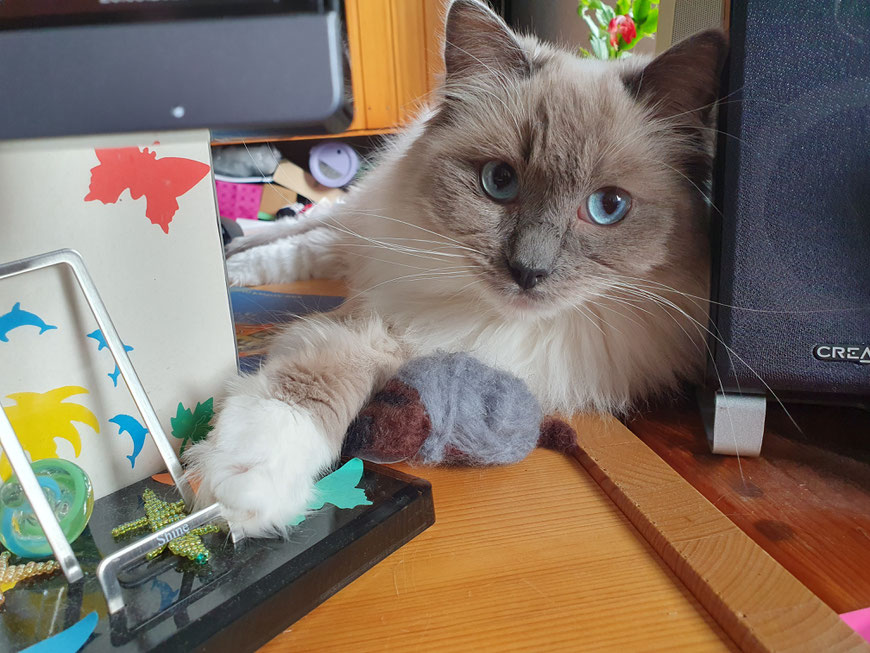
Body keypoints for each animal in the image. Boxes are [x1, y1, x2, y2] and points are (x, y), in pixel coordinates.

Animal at [187, 1, 732, 536]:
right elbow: (299, 392)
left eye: (608, 207)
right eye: (499, 181)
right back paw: (236, 261)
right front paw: (241, 493)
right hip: (355, 225)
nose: (528, 271)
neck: (504, 326)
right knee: (302, 232)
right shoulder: (374, 320)